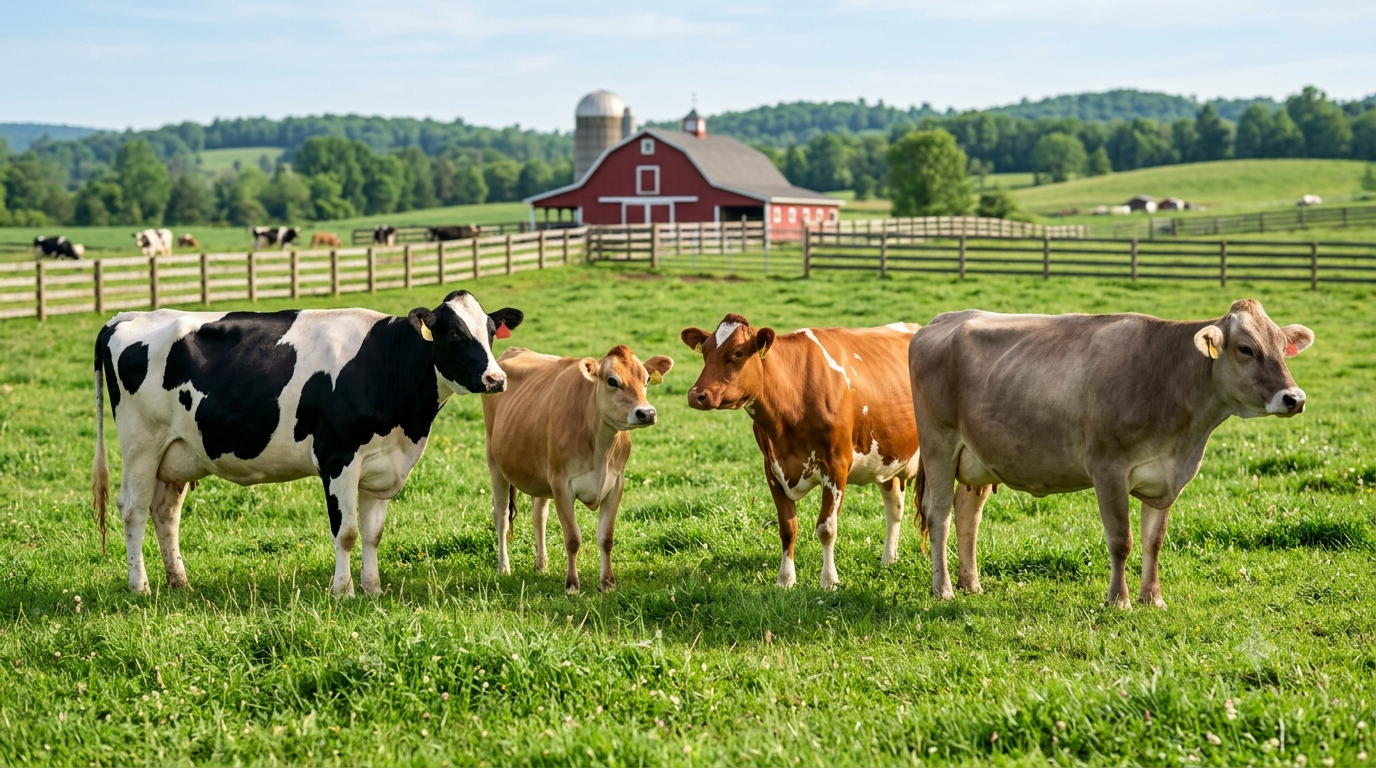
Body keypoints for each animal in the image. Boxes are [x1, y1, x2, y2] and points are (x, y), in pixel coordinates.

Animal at [92, 290, 525, 597]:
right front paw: (343, 592)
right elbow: (346, 531)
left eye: (490, 331)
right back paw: (140, 586)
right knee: (133, 510)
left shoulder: (381, 465)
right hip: (141, 445)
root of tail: (126, 317)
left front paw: (373, 589)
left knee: (165, 513)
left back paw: (178, 581)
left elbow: (373, 533)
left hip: (177, 452)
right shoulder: (338, 458)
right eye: (453, 332)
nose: (496, 379)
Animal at [483, 345, 673, 592]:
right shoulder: (561, 484)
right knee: (502, 515)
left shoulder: (616, 483)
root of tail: (515, 349)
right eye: (612, 380)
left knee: (538, 515)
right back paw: (503, 567)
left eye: (647, 379)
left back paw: (541, 565)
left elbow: (606, 537)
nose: (647, 413)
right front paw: (572, 584)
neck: (600, 448)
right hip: (494, 462)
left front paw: (607, 582)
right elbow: (572, 538)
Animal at [680, 314, 988, 590]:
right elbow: (787, 528)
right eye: (705, 352)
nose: (696, 394)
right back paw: (889, 559)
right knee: (895, 508)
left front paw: (828, 580)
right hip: (887, 459)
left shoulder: (836, 466)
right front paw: (785, 580)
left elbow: (826, 528)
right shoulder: (772, 469)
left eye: (738, 352)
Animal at [908, 299, 1314, 608]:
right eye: (1246, 348)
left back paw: (971, 584)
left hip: (977, 458)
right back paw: (943, 589)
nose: (1294, 398)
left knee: (967, 514)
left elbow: (1154, 541)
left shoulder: (1166, 477)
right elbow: (1122, 541)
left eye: (1282, 346)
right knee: (939, 514)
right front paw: (1119, 600)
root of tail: (942, 319)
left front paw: (1153, 598)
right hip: (939, 444)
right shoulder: (1108, 469)